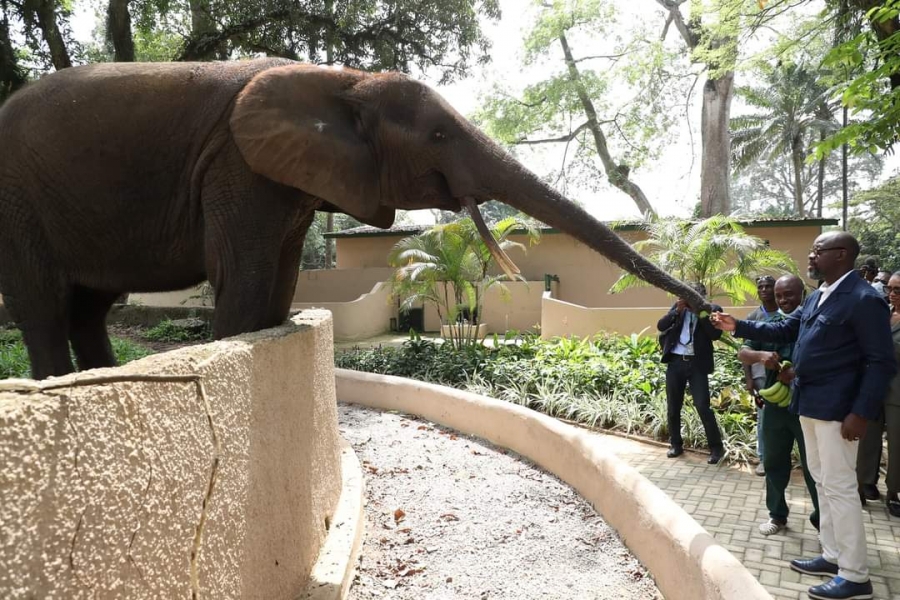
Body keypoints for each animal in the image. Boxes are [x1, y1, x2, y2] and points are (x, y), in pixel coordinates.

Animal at [0, 59, 712, 380]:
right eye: (438, 135)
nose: (708, 308)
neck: (341, 81)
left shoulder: (280, 181)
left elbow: (278, 288)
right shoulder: (238, 167)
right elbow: (245, 285)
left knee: (89, 305)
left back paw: (97, 377)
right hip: (17, 196)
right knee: (42, 305)